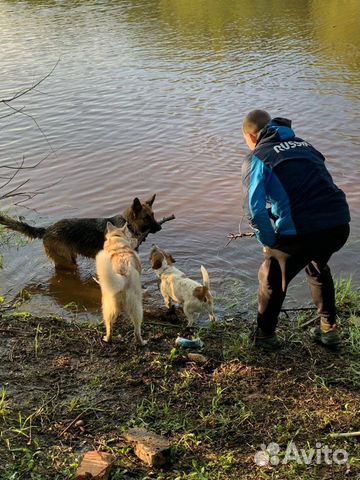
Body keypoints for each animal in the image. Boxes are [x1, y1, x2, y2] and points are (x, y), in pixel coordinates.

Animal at [0, 195, 160, 270]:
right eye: (146, 218)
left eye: (153, 215)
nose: (160, 228)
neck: (128, 225)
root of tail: (47, 229)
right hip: (66, 260)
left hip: (71, 258)